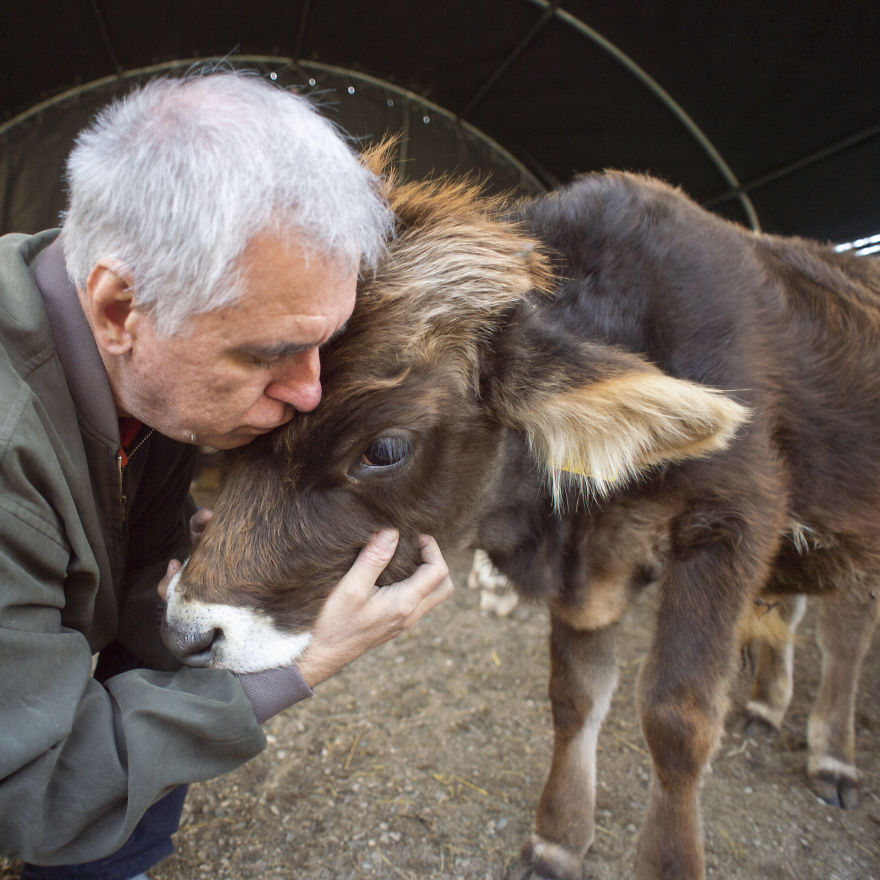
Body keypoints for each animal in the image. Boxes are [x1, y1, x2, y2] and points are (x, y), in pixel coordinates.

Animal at [162, 162, 880, 880]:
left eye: (384, 448)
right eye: (247, 427)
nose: (187, 632)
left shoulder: (734, 520)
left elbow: (677, 715)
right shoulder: (588, 576)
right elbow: (575, 696)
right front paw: (558, 838)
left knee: (845, 634)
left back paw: (833, 756)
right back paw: (768, 704)